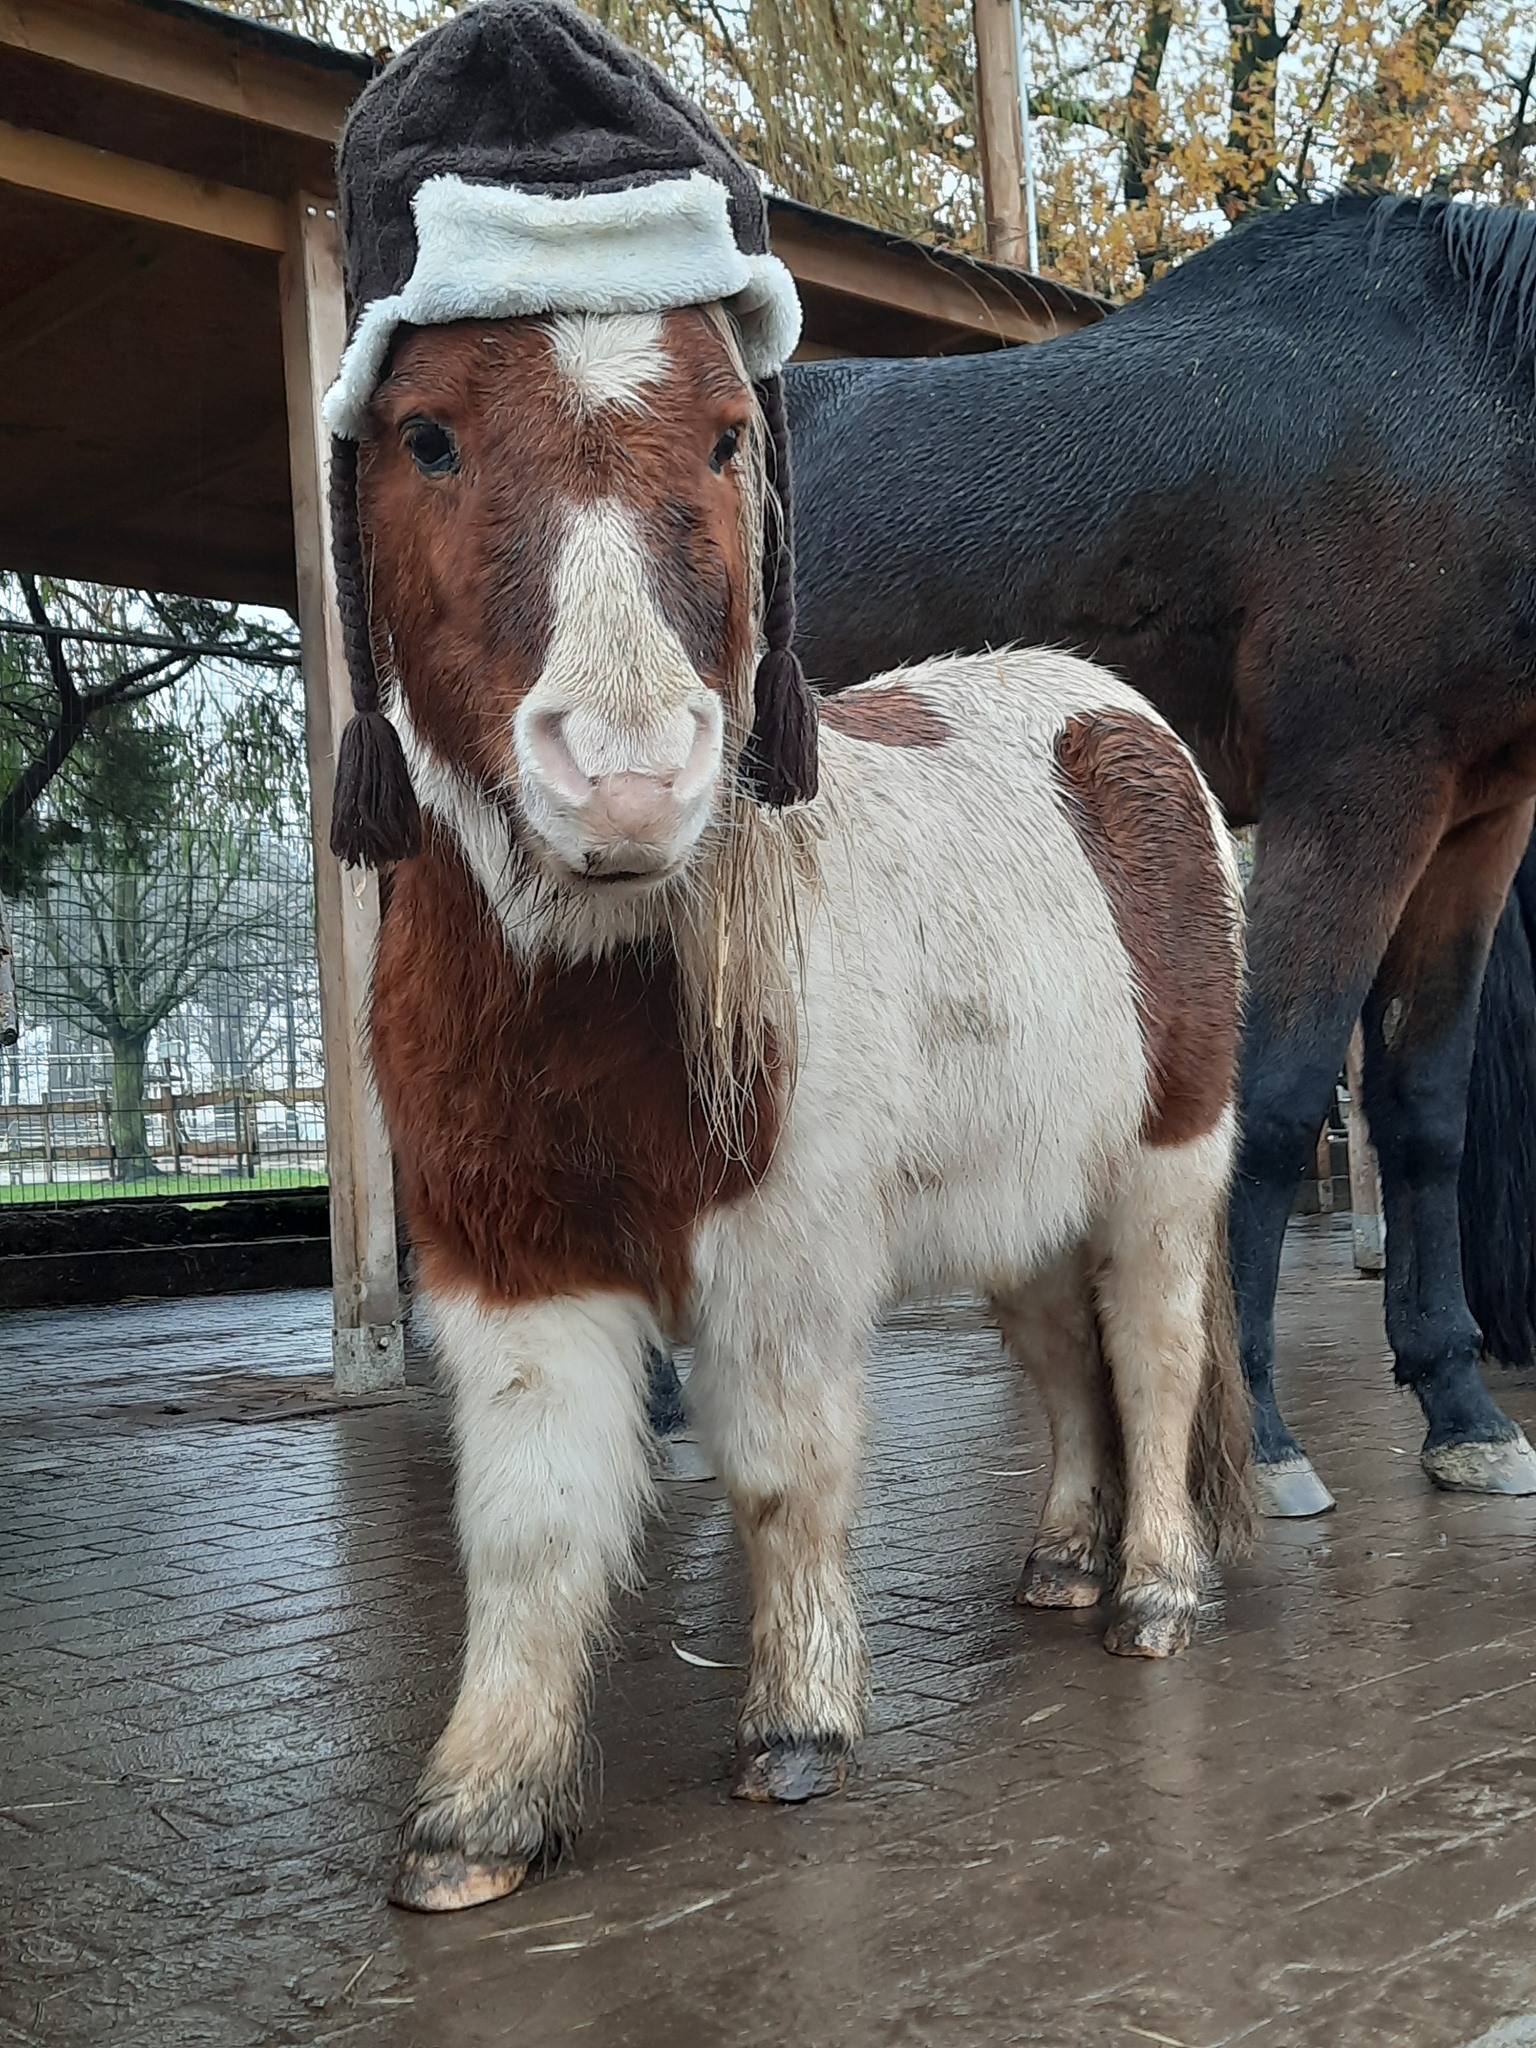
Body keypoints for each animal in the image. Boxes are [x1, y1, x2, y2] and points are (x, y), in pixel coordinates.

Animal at [354, 303, 1253, 1916]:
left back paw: (1152, 1590)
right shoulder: (506, 1256)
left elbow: (782, 1473)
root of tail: (1122, 723)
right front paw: (476, 1815)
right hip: (1020, 1208)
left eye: (728, 437)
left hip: (1163, 1163)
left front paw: (797, 1728)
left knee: (1152, 1357)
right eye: (426, 436)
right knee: (1065, 1366)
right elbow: (526, 1524)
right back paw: (1064, 1562)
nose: (631, 781)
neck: (593, 981)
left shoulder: (783, 1254)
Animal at [786, 199, 1536, 1523]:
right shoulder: (1352, 795)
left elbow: (1424, 1108)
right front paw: (1259, 1439)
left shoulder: (1472, 824)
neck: (1471, 405)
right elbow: (1275, 1099)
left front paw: (1462, 1411)